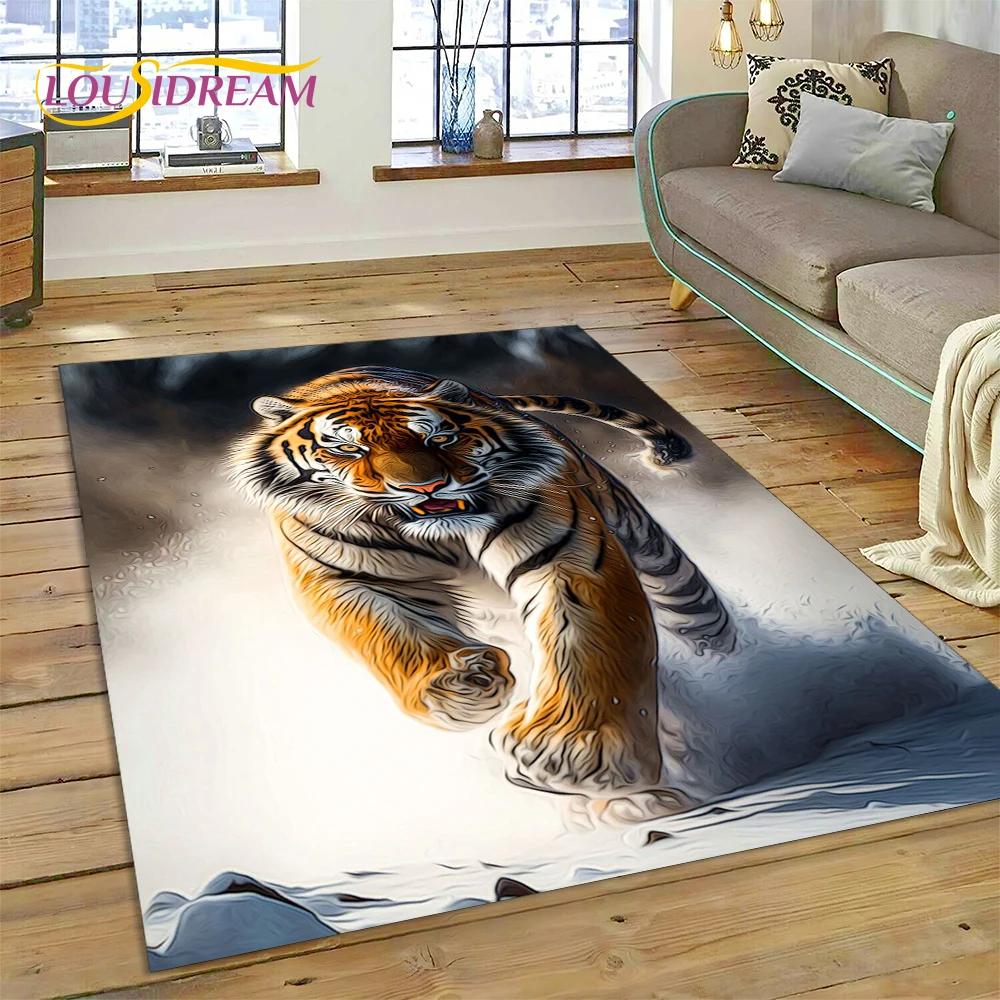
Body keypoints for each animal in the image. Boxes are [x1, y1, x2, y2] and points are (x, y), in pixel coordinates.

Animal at [230, 366, 734, 801]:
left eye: (439, 437)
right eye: (348, 450)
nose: (426, 487)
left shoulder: (566, 554)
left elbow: (590, 638)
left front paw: (577, 752)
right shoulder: (339, 575)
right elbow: (384, 632)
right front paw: (459, 686)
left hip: (653, 551)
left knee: (699, 613)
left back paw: (733, 673)